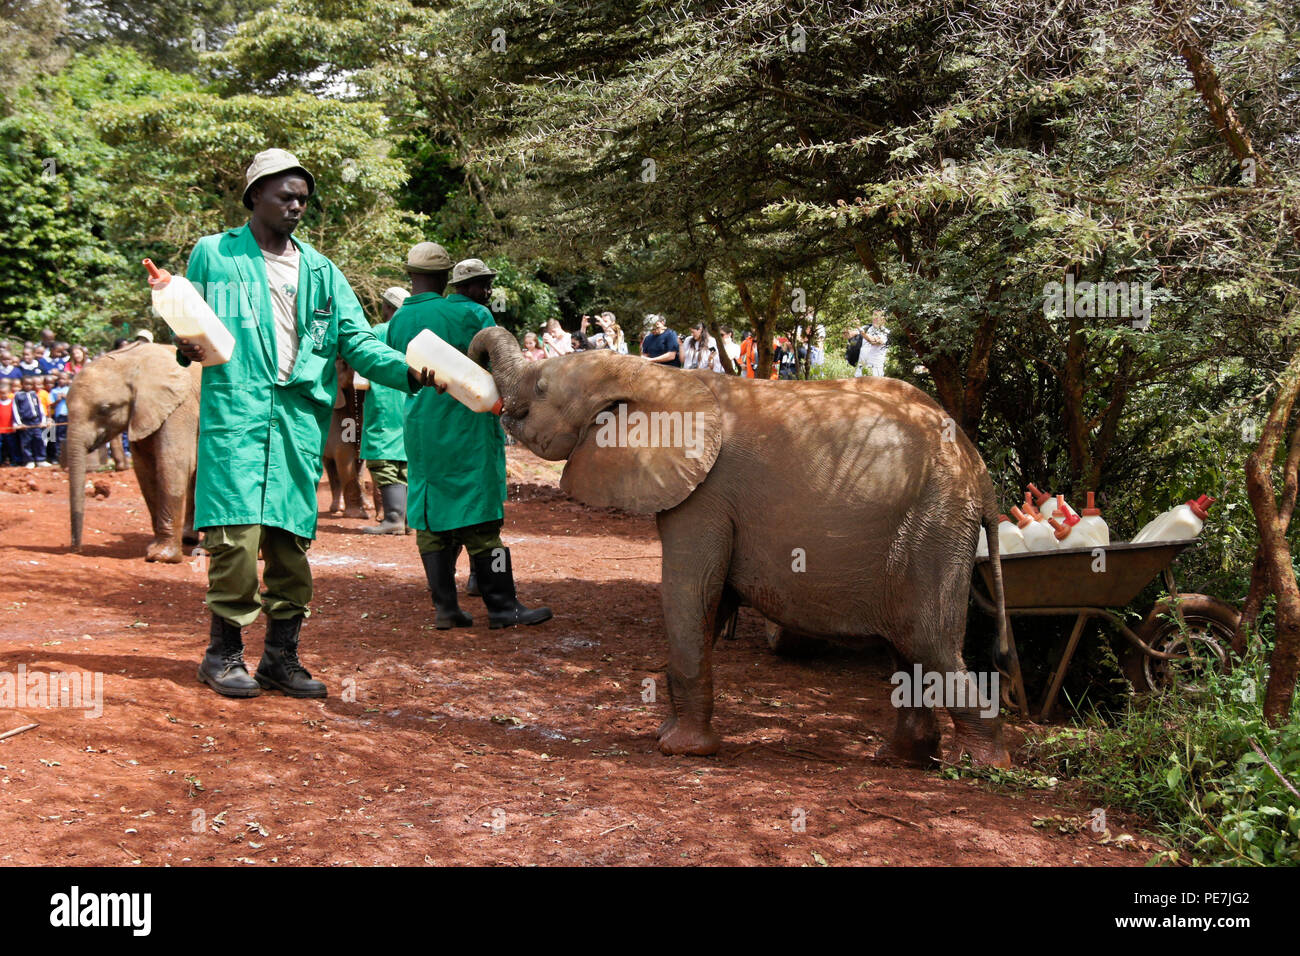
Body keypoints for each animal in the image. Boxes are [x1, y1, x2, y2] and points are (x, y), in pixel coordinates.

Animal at [67, 342, 201, 563]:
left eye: (105, 409)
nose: (75, 550)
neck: (132, 360)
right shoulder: (143, 414)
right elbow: (145, 470)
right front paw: (154, 548)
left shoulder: (180, 407)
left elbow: (173, 463)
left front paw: (161, 557)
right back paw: (190, 540)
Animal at [322, 358, 370, 518]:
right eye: (344, 363)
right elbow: (344, 453)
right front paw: (358, 515)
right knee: (330, 466)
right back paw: (337, 508)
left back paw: (367, 505)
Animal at [468, 326, 1011, 767]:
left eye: (541, 388)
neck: (653, 378)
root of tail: (981, 472)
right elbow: (711, 604)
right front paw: (671, 734)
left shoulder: (705, 494)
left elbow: (688, 593)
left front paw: (680, 750)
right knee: (910, 652)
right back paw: (898, 759)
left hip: (934, 527)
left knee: (930, 644)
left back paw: (981, 765)